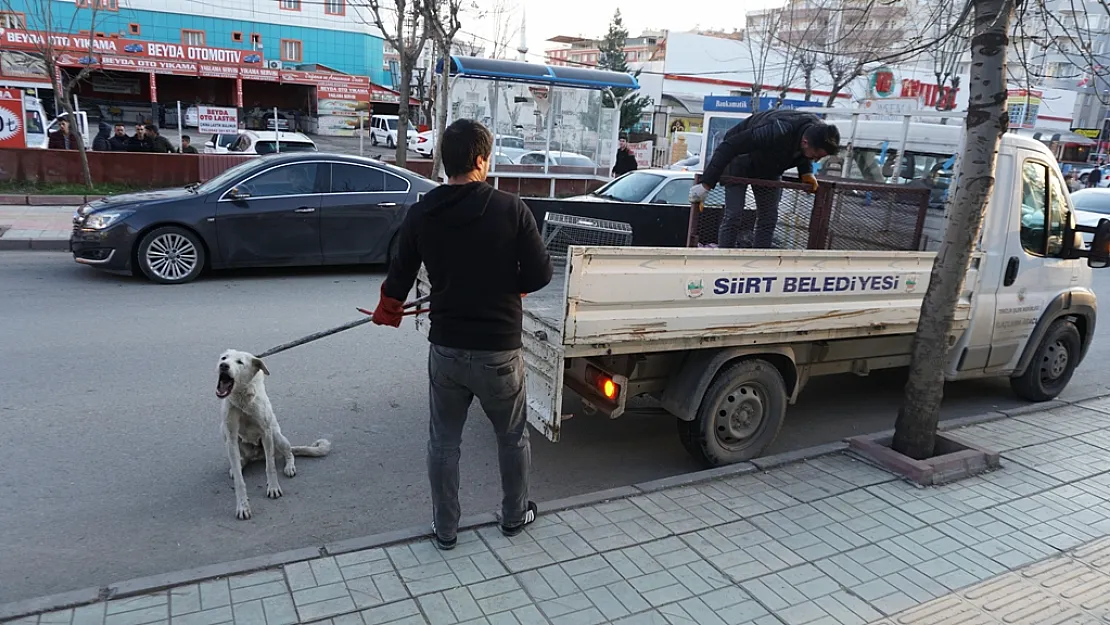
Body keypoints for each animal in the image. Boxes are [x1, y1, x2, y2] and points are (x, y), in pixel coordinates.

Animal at [215, 350, 328, 521]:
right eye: (224, 358)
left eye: (240, 362)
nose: (223, 366)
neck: (243, 401)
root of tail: (257, 455)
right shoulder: (231, 437)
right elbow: (240, 482)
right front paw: (242, 506)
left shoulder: (266, 433)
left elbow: (271, 466)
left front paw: (273, 487)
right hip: (225, 434)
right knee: (242, 459)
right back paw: (239, 465)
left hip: (276, 436)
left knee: (288, 453)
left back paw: (289, 466)